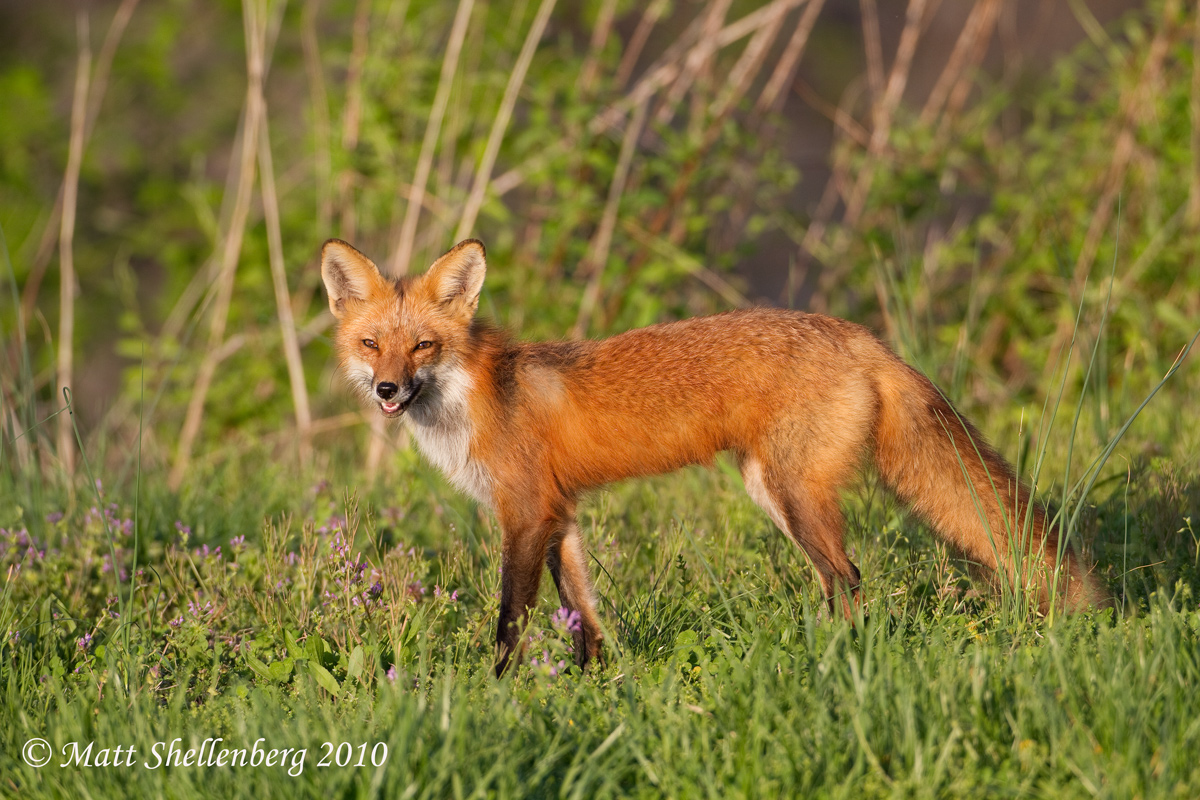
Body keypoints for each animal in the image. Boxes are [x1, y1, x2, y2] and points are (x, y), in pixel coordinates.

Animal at [320, 237, 1109, 675]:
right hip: (773, 491)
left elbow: (511, 618)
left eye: (424, 345)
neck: (473, 397)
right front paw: (596, 689)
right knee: (841, 581)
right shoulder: (560, 514)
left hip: (791, 493)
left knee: (850, 580)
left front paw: (497, 692)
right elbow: (586, 616)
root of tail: (860, 335)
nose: (388, 388)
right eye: (371, 344)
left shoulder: (524, 513)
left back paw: (836, 665)